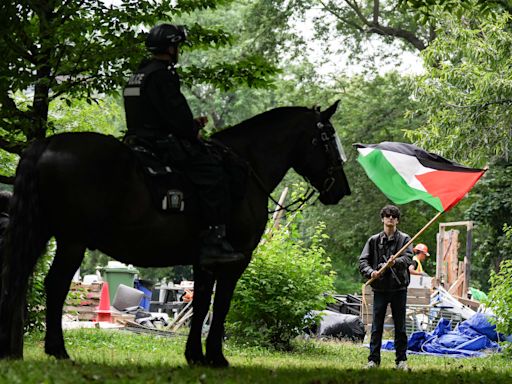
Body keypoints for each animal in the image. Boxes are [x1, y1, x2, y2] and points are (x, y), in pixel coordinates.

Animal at [0, 102, 350, 366]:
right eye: (329, 138)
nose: (342, 190)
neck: (246, 169)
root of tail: (47, 143)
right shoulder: (235, 261)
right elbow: (220, 306)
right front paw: (216, 356)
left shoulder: (204, 262)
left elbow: (202, 304)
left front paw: (195, 354)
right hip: (72, 240)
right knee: (55, 285)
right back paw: (57, 349)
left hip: (41, 233)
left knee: (20, 277)